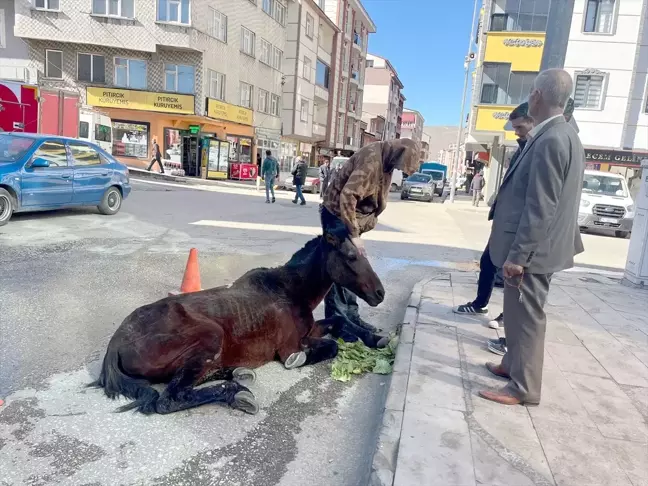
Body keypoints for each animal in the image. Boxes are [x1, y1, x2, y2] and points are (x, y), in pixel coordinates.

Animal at [91, 234, 384, 416]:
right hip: (210, 336)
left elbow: (338, 322)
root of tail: (116, 343)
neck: (288, 290)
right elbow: (328, 348)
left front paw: (375, 338)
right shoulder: (290, 346)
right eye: (350, 256)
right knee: (171, 398)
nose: (380, 293)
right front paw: (302, 360)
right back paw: (237, 393)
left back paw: (236, 373)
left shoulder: (311, 330)